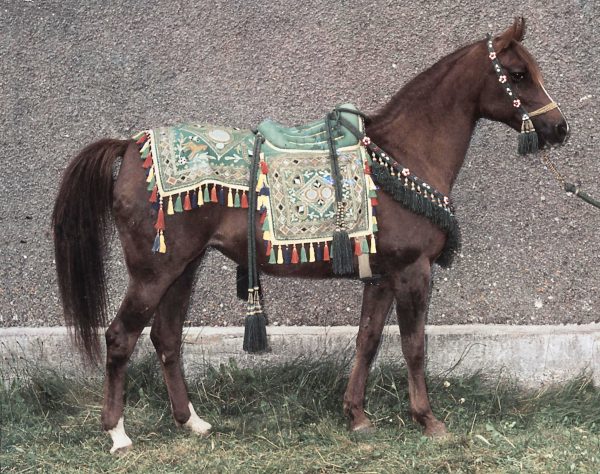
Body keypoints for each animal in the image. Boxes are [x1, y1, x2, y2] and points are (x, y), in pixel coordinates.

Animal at [51, 18, 568, 454]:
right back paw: (118, 434)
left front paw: (357, 416)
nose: (559, 128)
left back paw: (191, 421)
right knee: (120, 337)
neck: (403, 156)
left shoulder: (381, 277)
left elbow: (368, 340)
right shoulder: (412, 272)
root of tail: (130, 147)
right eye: (518, 73)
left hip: (183, 268)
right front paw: (428, 419)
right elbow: (414, 345)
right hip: (153, 272)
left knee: (166, 337)